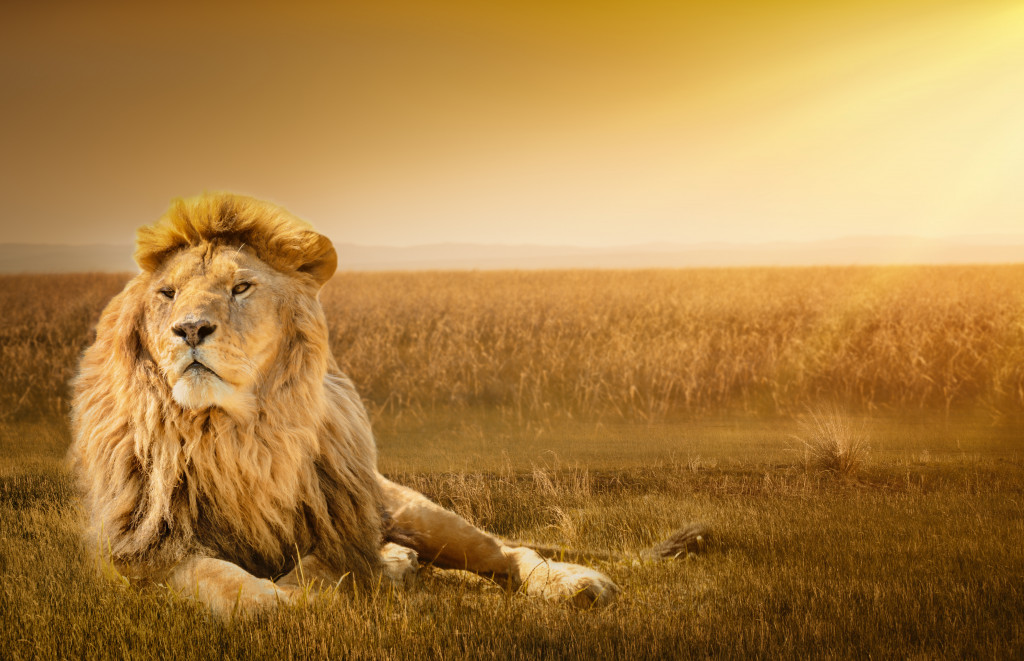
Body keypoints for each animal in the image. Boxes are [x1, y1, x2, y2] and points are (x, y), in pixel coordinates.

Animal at [66, 193, 704, 618]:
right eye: (167, 294)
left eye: (241, 287)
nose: (189, 329)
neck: (235, 433)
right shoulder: (144, 551)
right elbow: (233, 585)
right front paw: (300, 597)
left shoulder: (340, 524)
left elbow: (322, 567)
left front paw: (353, 578)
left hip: (415, 511)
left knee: (506, 552)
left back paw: (573, 583)